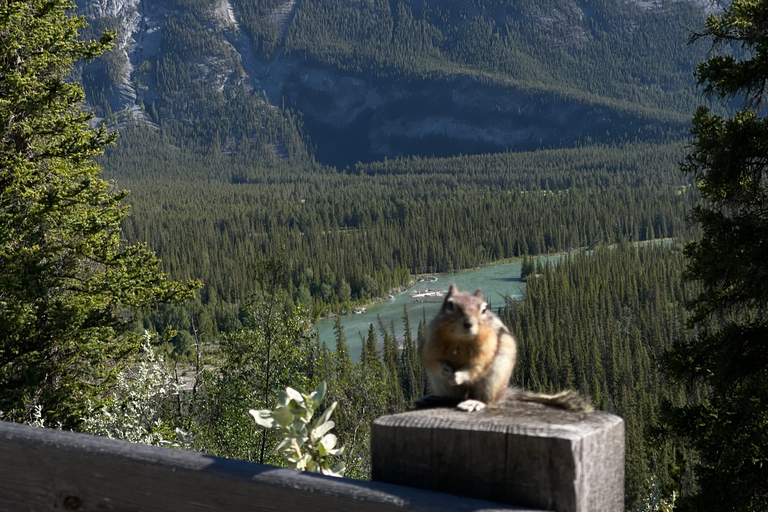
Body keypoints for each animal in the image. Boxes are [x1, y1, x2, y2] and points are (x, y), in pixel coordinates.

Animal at [416, 284, 592, 412]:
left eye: (484, 309)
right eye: (450, 305)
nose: (468, 323)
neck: (460, 340)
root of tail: (503, 391)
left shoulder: (487, 347)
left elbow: (476, 366)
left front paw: (459, 376)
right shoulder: (430, 342)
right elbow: (431, 361)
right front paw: (445, 370)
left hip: (493, 378)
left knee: (489, 401)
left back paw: (475, 403)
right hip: (439, 383)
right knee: (451, 398)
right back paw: (432, 398)